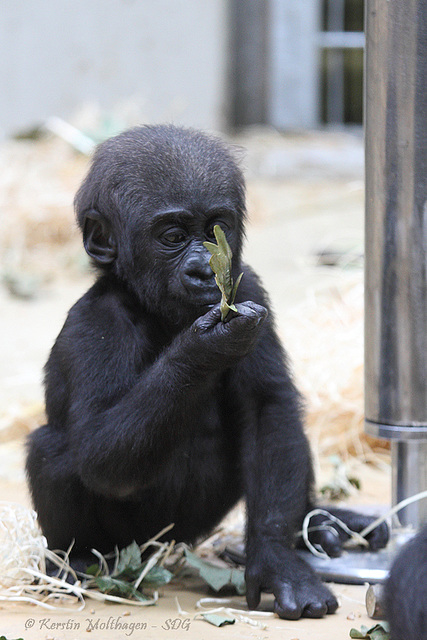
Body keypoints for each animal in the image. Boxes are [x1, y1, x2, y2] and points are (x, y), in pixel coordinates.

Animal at [25, 122, 390, 616]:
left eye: (218, 228)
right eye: (173, 236)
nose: (203, 271)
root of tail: (170, 548)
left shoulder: (249, 287)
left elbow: (267, 409)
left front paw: (277, 559)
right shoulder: (96, 325)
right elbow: (99, 454)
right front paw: (206, 347)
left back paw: (321, 524)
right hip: (136, 544)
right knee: (53, 450)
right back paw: (75, 561)